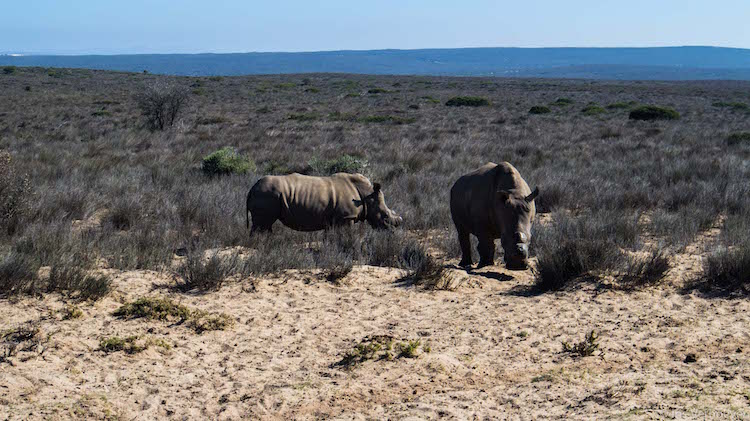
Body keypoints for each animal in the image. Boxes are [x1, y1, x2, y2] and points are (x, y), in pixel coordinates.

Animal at [247, 171, 402, 233]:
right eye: (385, 215)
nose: (392, 231)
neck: (366, 195)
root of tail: (251, 188)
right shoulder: (346, 217)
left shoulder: (333, 220)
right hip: (267, 195)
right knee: (262, 225)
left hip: (267, 195)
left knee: (265, 225)